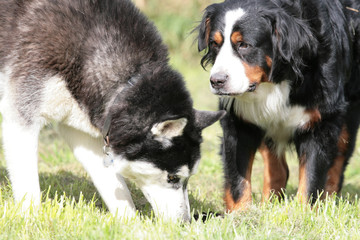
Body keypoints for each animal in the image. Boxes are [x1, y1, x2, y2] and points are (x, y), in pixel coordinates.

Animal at [195, 0, 360, 210]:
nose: (217, 81)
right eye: (214, 44)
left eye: (244, 45)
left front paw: (303, 212)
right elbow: (237, 177)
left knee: (338, 158)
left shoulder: (320, 117)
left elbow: (311, 177)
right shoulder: (239, 118)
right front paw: (241, 213)